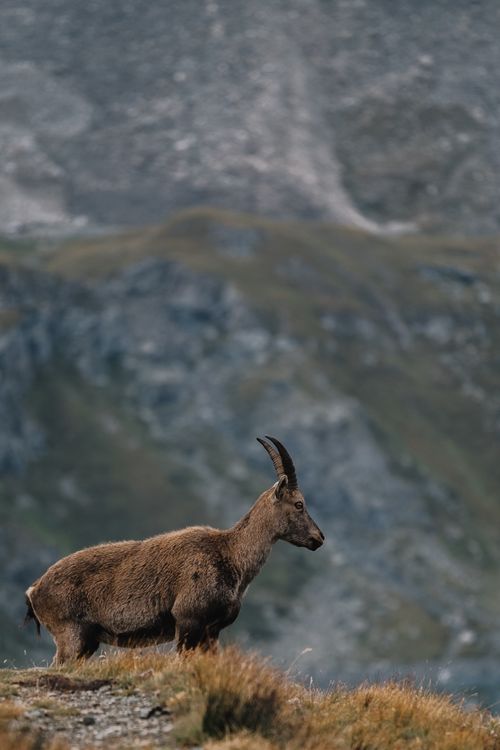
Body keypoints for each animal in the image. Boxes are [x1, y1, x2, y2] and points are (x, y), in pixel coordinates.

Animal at [25, 436, 324, 664]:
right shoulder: (188, 620)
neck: (231, 555)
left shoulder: (211, 631)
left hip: (87, 642)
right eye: (299, 504)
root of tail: (34, 590)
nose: (318, 538)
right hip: (70, 635)